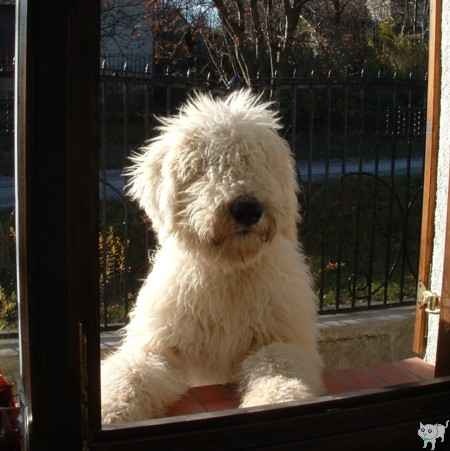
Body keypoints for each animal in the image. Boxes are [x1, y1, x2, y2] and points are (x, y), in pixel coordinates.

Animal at [100, 90, 326, 426]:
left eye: (255, 160)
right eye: (203, 166)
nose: (247, 209)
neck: (228, 272)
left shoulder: (280, 338)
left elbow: (278, 368)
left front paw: (277, 399)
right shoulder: (159, 345)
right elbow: (131, 373)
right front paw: (108, 409)